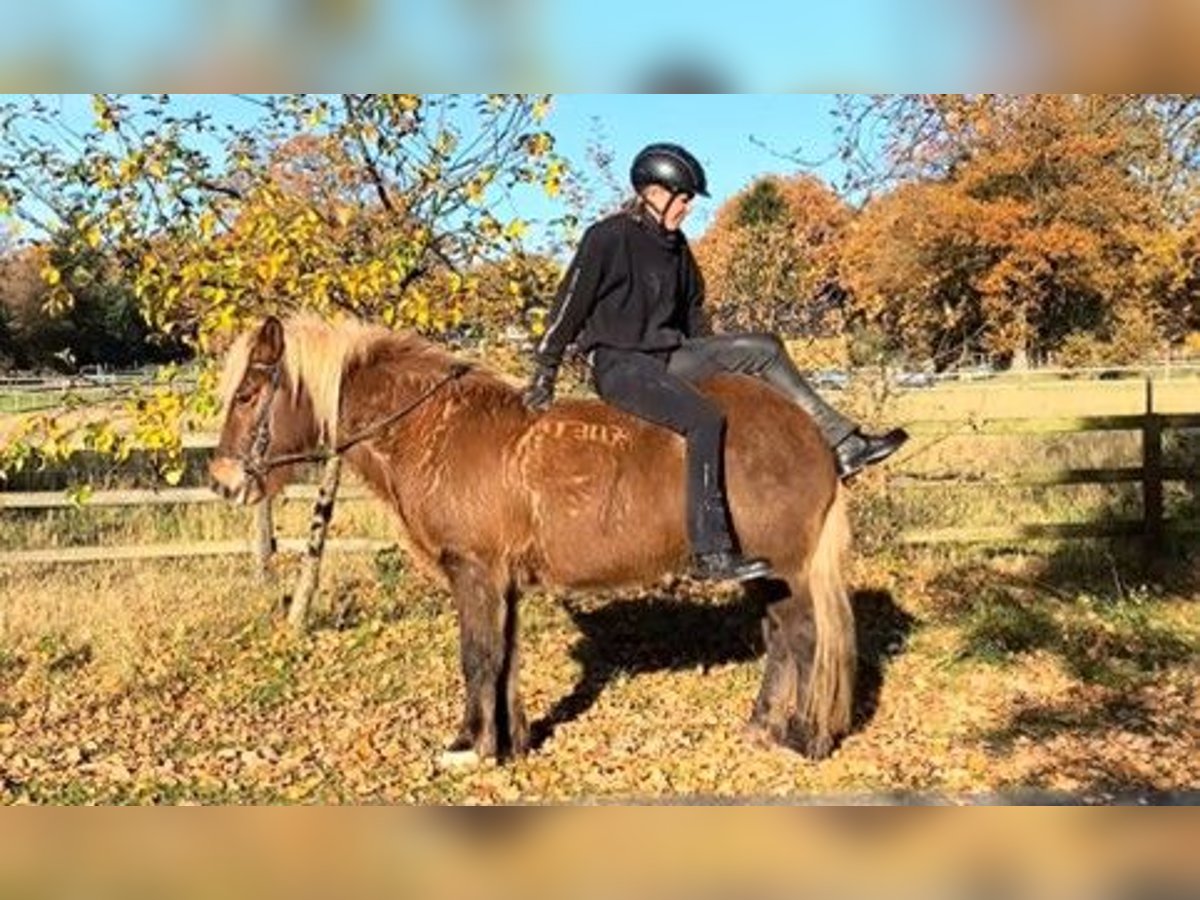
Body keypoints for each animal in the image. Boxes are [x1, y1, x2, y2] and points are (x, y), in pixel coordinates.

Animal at [209, 314, 856, 763]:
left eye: (247, 395)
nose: (222, 481)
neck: (435, 429)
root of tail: (810, 433)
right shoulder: (503, 580)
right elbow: (506, 656)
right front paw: (511, 742)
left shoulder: (473, 571)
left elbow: (477, 654)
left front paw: (469, 747)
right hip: (764, 573)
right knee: (778, 638)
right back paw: (764, 726)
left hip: (788, 568)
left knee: (803, 638)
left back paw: (803, 739)